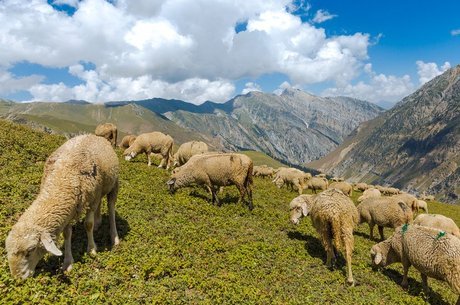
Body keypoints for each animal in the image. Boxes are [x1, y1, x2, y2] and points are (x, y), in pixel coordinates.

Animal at [5, 134, 119, 280]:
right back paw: (99, 223)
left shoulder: (91, 201)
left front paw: (92, 249)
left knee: (111, 208)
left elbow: (88, 224)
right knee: (100, 204)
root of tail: (96, 136)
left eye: (30, 250)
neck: (63, 178)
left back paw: (115, 238)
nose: (17, 278)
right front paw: (68, 262)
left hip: (114, 184)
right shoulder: (69, 209)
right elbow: (67, 233)